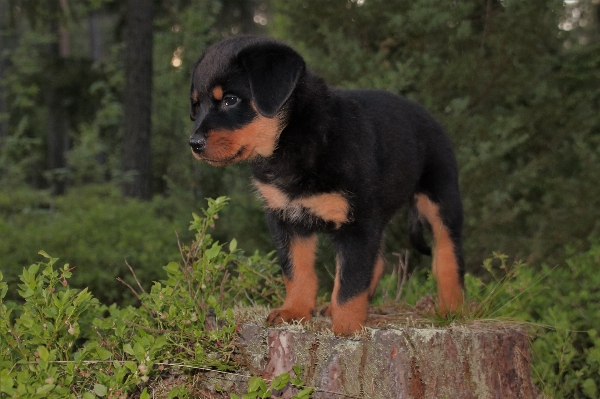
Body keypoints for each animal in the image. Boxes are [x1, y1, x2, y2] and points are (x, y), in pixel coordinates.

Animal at [190, 35, 466, 334]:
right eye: (196, 107)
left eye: (230, 100)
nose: (194, 143)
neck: (292, 139)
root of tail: (430, 117)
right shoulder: (286, 218)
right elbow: (297, 271)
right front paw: (294, 311)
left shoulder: (357, 223)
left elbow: (349, 282)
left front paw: (347, 328)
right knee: (378, 262)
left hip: (441, 198)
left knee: (448, 254)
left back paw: (452, 308)